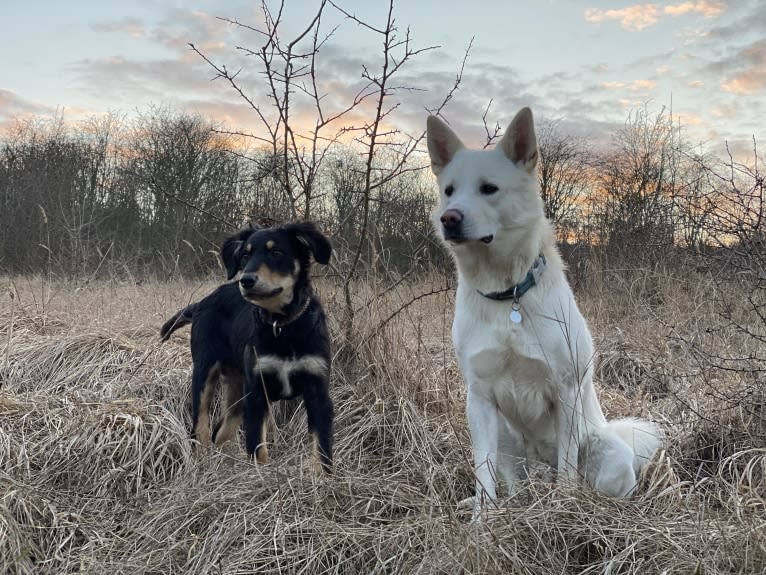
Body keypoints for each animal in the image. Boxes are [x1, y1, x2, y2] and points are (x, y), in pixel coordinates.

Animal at [162, 222, 336, 472]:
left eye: (276, 252)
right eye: (245, 255)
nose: (246, 280)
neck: (282, 326)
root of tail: (203, 302)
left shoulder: (318, 390)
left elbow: (322, 449)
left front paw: (323, 478)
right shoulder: (257, 391)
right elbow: (257, 446)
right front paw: (260, 474)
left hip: (238, 389)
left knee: (220, 431)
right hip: (205, 372)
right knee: (201, 427)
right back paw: (201, 463)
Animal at [428, 108, 664, 516]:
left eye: (489, 188)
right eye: (449, 191)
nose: (450, 219)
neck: (507, 296)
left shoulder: (564, 389)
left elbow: (567, 468)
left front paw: (565, 509)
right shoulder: (479, 398)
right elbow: (483, 471)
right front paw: (482, 520)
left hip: (608, 455)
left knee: (589, 479)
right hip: (504, 435)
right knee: (514, 485)